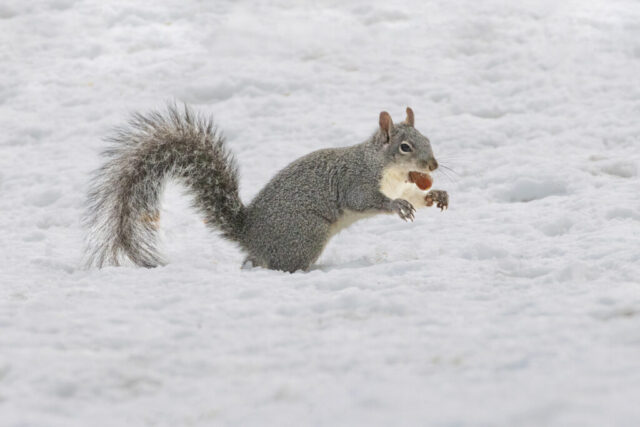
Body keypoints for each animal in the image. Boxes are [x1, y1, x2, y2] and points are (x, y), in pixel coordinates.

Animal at [84, 105, 449, 272]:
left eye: (427, 138)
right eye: (405, 147)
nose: (433, 165)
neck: (387, 168)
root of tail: (249, 234)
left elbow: (414, 194)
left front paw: (435, 196)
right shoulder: (355, 180)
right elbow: (365, 200)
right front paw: (396, 207)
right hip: (307, 234)